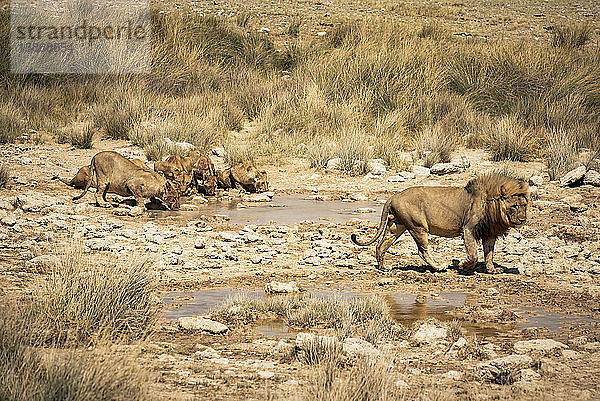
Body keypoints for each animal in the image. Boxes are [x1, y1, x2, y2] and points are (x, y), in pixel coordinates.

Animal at [352, 173, 528, 274]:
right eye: (514, 206)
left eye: (524, 205)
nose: (523, 219)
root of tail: (393, 196)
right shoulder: (468, 229)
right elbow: (474, 255)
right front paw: (463, 267)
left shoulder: (490, 233)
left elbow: (489, 254)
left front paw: (492, 269)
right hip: (418, 227)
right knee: (422, 251)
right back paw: (439, 267)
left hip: (396, 227)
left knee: (380, 245)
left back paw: (383, 267)